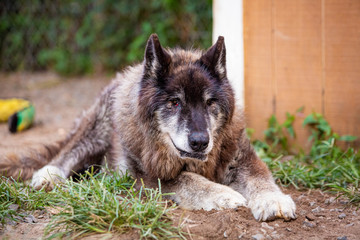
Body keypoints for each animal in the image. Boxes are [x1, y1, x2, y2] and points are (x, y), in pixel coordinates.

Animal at [0, 33, 296, 221]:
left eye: (210, 102)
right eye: (174, 102)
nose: (200, 141)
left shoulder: (242, 157)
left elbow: (260, 177)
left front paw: (273, 200)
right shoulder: (149, 177)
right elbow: (187, 179)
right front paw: (224, 195)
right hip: (97, 130)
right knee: (68, 150)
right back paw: (48, 175)